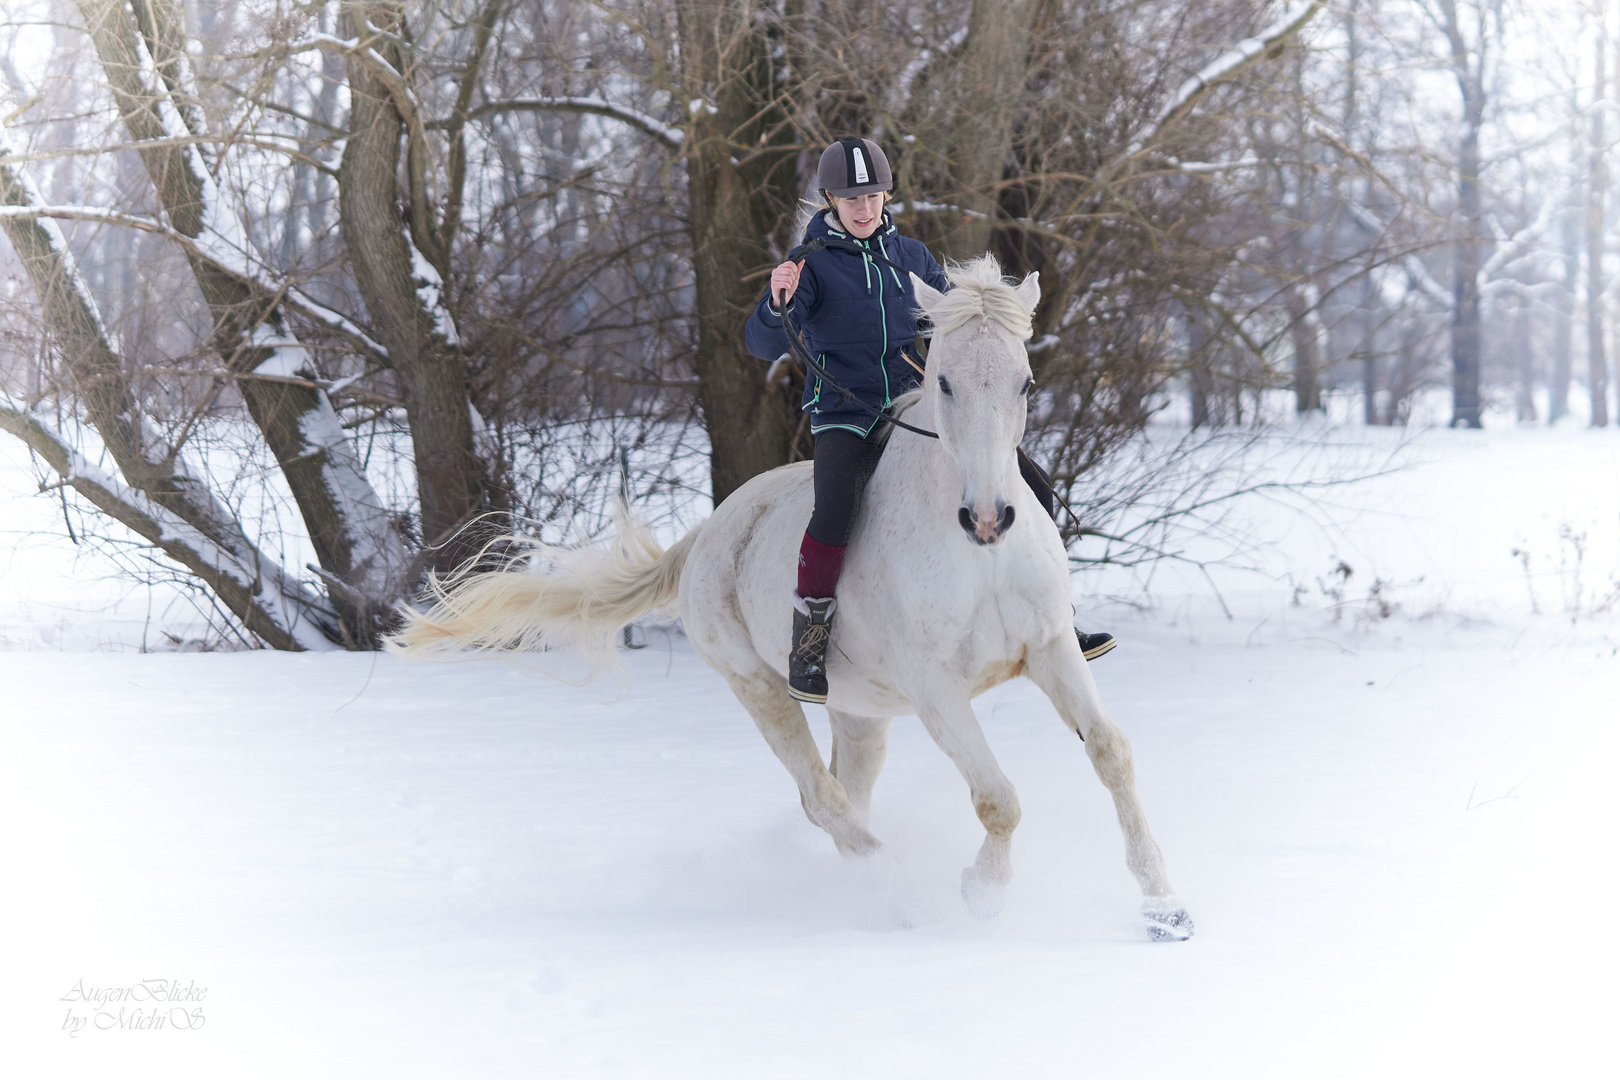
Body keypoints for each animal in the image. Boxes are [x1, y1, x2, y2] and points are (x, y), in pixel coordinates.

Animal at [395, 257, 1192, 939]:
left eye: (1024, 383)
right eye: (944, 383)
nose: (989, 517)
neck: (978, 560)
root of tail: (708, 533)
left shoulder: (1051, 649)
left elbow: (1111, 754)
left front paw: (1164, 908)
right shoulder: (938, 690)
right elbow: (998, 799)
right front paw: (981, 893)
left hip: (861, 712)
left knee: (848, 795)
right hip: (760, 689)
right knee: (822, 800)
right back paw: (902, 896)